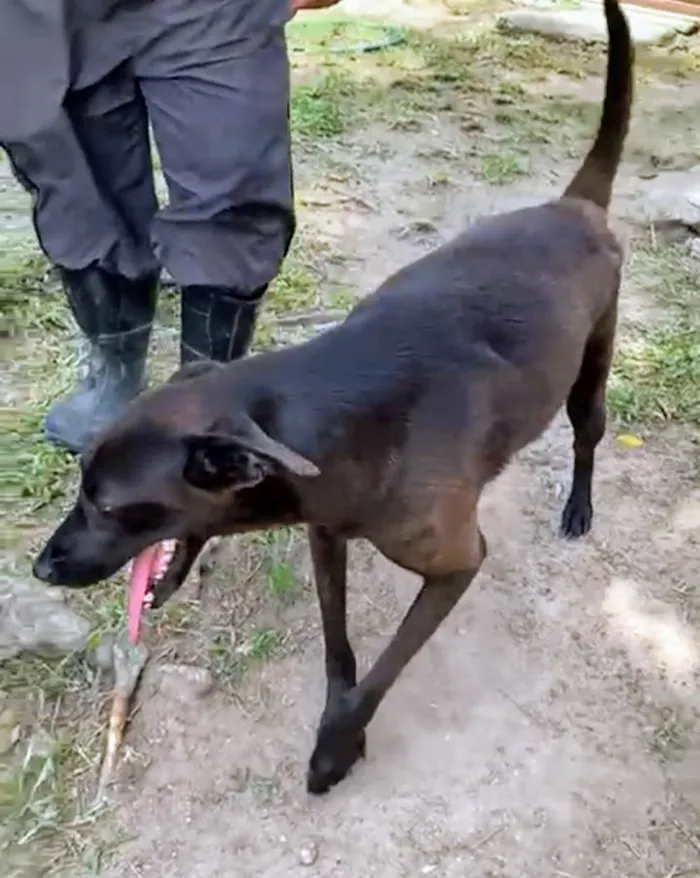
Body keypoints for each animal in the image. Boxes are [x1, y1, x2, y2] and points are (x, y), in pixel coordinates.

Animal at [32, 0, 636, 796]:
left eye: (106, 505)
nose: (40, 569)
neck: (323, 417)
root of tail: (573, 207)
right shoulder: (325, 536)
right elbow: (338, 649)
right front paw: (336, 717)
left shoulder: (457, 564)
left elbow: (381, 672)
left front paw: (335, 748)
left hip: (590, 373)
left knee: (588, 435)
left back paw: (579, 507)